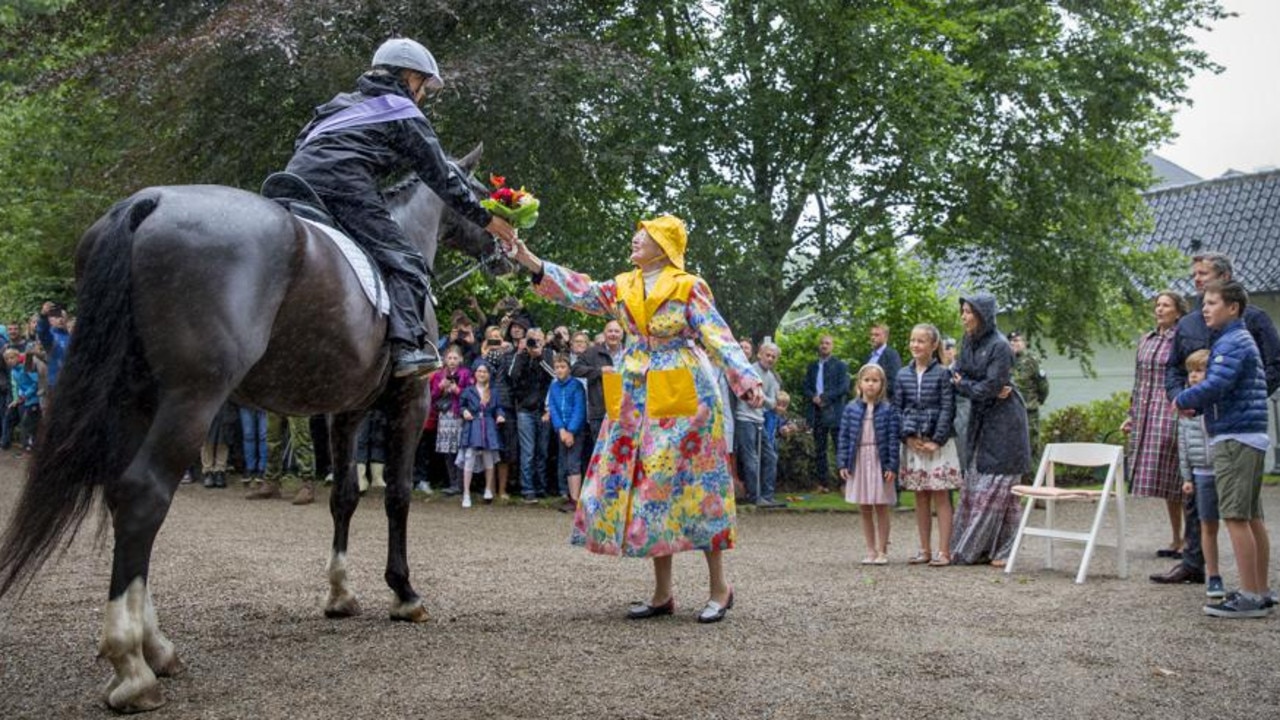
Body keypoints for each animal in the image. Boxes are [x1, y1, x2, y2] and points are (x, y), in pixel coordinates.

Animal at [0, 144, 504, 707]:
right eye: (479, 194)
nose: (504, 249)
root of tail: (148, 204)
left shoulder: (346, 410)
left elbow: (345, 495)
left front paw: (340, 592)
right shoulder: (408, 402)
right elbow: (396, 496)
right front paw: (404, 593)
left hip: (137, 399)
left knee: (121, 499)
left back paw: (157, 648)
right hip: (192, 397)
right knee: (142, 495)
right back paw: (132, 665)